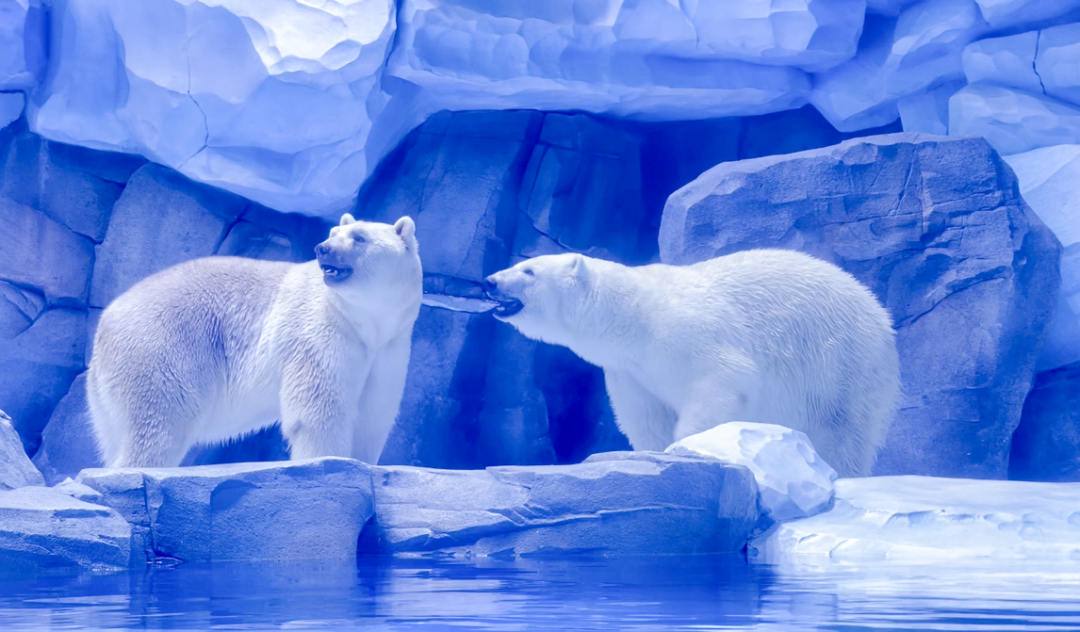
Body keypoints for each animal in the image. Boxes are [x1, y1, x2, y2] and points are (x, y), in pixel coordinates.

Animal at [86, 214, 422, 468]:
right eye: (333, 233)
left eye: (359, 237)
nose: (322, 248)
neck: (366, 321)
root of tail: (104, 326)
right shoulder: (322, 333)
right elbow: (320, 407)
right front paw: (328, 461)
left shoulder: (390, 346)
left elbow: (374, 410)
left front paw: (363, 462)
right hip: (163, 348)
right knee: (161, 421)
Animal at [483, 249, 900, 477]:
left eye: (528, 270)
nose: (489, 281)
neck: (631, 315)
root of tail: (881, 315)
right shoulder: (630, 373)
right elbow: (647, 416)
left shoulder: (686, 330)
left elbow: (725, 381)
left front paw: (686, 449)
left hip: (842, 364)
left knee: (843, 432)